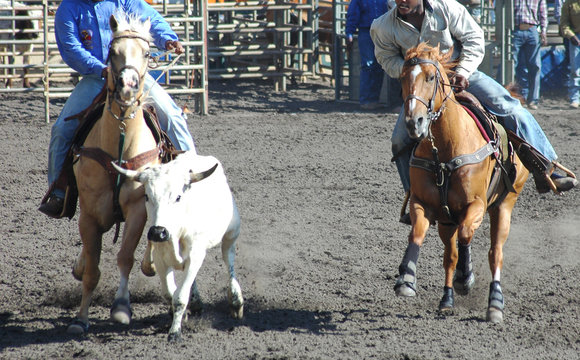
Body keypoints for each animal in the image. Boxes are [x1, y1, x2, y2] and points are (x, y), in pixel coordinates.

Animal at [68, 14, 161, 334]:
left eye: (146, 53)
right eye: (113, 52)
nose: (128, 86)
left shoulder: (136, 210)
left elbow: (125, 258)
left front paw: (121, 308)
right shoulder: (90, 214)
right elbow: (93, 270)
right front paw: (80, 318)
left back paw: (151, 263)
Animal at [394, 43, 532, 324]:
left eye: (430, 77)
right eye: (402, 78)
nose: (414, 123)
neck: (445, 149)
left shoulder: (476, 205)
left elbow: (468, 235)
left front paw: (465, 277)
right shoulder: (423, 204)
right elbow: (417, 234)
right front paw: (406, 278)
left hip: (504, 206)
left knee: (495, 253)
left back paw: (494, 304)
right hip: (447, 221)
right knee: (450, 255)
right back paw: (446, 300)